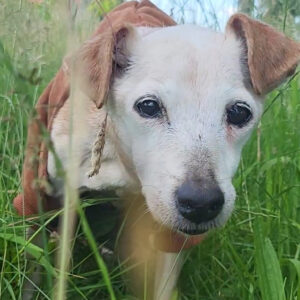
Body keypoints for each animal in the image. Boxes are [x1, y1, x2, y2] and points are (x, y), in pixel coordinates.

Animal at [17, 1, 298, 298]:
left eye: (239, 112)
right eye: (149, 106)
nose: (201, 203)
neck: (124, 162)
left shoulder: (168, 237)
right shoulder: (60, 200)